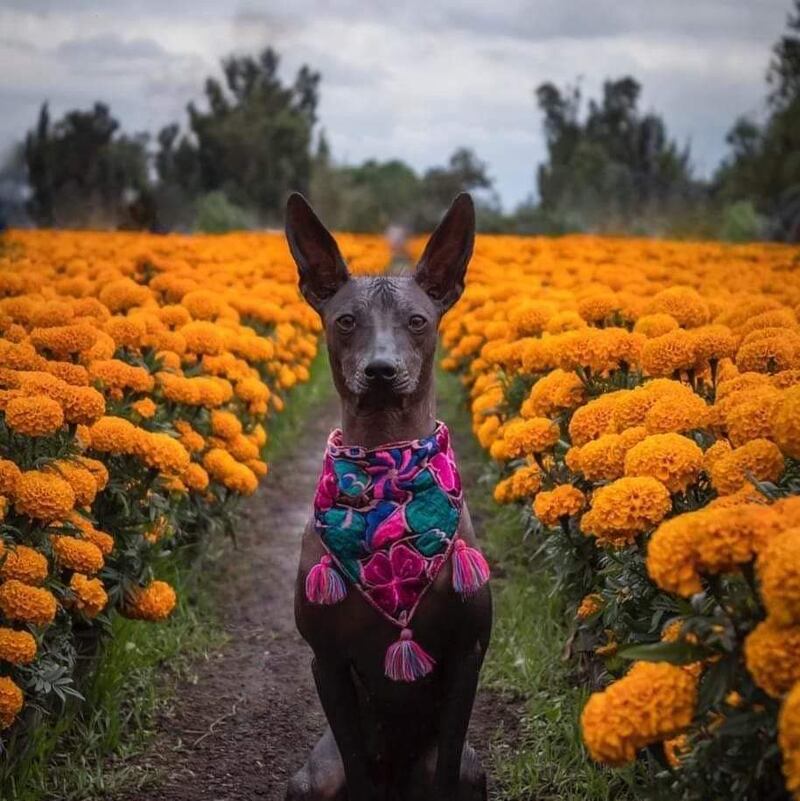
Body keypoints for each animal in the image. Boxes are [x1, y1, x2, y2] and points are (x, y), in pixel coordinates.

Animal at [284, 192, 490, 800]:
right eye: (346, 321)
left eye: (417, 321)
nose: (381, 370)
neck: (389, 471)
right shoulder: (327, 661)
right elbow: (356, 764)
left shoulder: (467, 656)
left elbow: (446, 765)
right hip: (312, 779)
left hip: (474, 769)